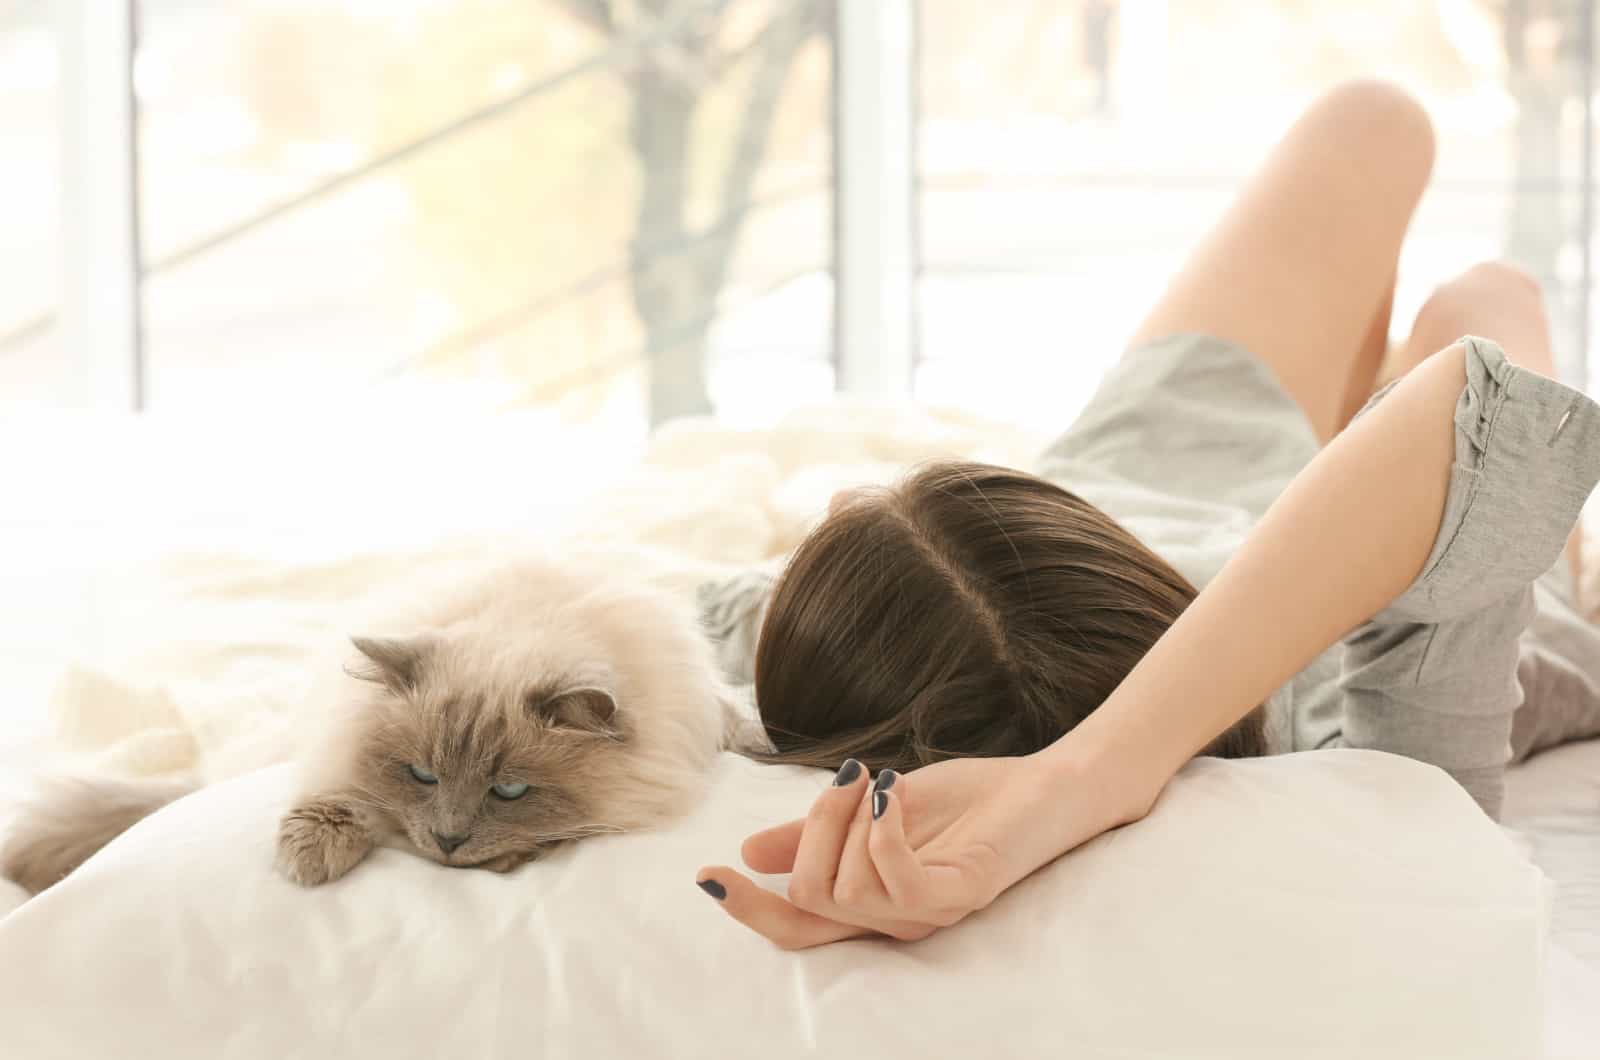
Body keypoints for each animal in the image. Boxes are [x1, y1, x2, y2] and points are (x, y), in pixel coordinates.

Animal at [0, 557, 736, 896]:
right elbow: (336, 801)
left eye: (509, 791)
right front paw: (308, 861)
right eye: (421, 774)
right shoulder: (337, 758)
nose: (447, 840)